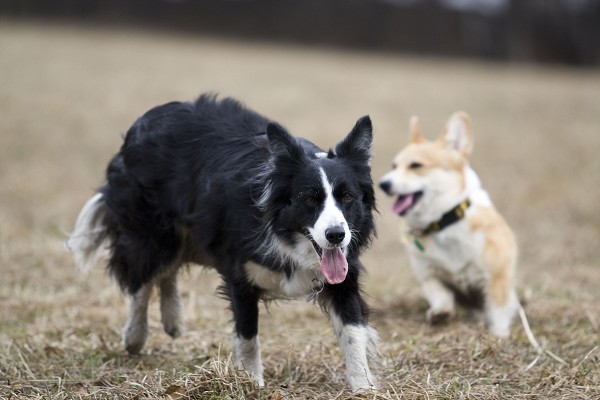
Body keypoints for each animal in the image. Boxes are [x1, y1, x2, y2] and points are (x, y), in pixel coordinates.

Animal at [68, 94, 378, 390]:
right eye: (309, 199)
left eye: (347, 196)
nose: (336, 235)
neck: (287, 234)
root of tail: (144, 120)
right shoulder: (240, 272)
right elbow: (248, 335)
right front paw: (251, 382)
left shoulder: (344, 270)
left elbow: (352, 331)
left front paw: (363, 386)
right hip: (153, 229)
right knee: (142, 276)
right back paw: (135, 335)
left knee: (167, 271)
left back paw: (173, 321)